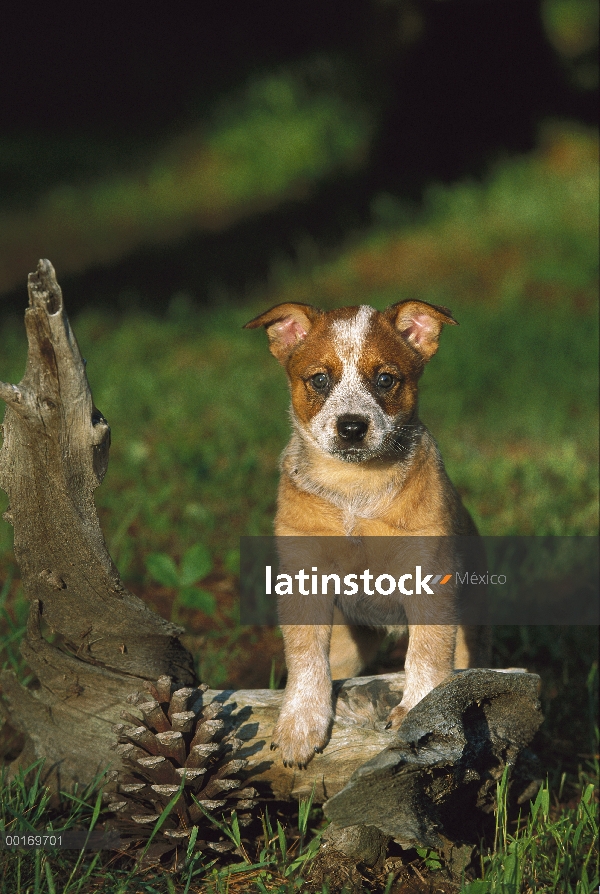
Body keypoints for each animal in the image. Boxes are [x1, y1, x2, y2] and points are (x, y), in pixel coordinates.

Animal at [246, 304, 490, 768]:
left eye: (385, 380)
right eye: (320, 379)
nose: (352, 426)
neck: (354, 492)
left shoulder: (429, 577)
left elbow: (427, 653)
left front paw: (416, 710)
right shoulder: (303, 579)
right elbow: (305, 658)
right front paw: (300, 725)